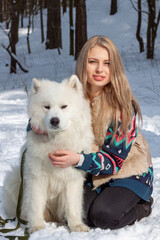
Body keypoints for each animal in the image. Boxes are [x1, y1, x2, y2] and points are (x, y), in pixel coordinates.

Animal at [2, 75, 94, 232]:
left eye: (64, 106)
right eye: (47, 107)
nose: (54, 120)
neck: (55, 142)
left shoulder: (72, 179)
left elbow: (73, 206)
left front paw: (77, 226)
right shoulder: (36, 178)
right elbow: (36, 204)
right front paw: (37, 226)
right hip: (15, 179)